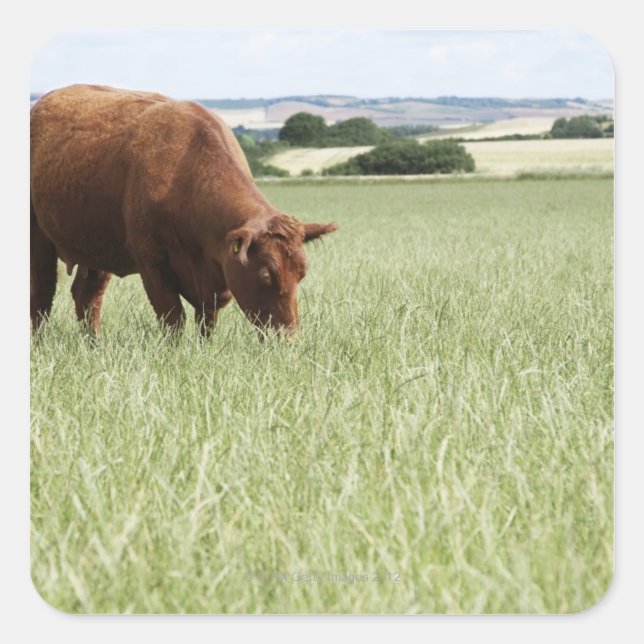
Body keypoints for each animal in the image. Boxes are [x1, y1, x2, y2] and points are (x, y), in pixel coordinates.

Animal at [30, 84, 337, 338]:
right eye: (265, 275)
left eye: (302, 273)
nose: (288, 337)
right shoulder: (152, 264)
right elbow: (172, 318)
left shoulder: (213, 280)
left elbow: (207, 321)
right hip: (39, 238)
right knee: (41, 295)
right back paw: (40, 343)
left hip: (98, 245)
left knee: (87, 295)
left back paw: (94, 344)